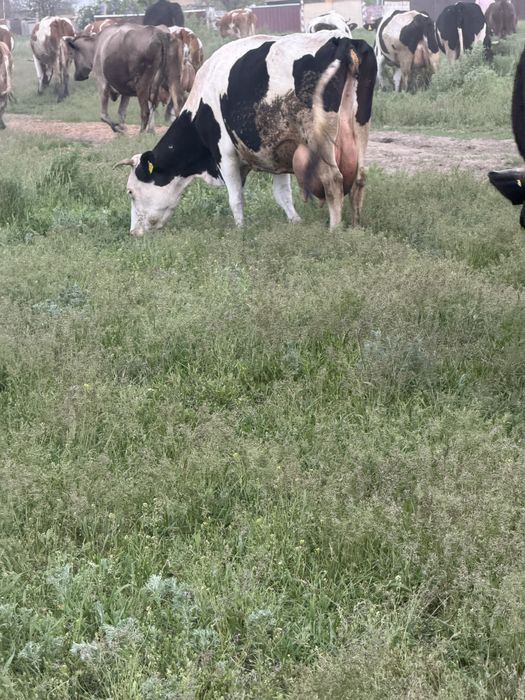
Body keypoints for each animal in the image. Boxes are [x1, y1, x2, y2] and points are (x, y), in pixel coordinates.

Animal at [114, 33, 377, 235]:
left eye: (131, 192)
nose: (134, 232)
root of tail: (342, 40)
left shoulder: (224, 153)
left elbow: (235, 197)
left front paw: (240, 229)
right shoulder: (278, 151)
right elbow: (282, 194)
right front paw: (295, 222)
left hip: (319, 139)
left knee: (333, 179)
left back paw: (335, 228)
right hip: (360, 129)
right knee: (360, 177)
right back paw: (356, 225)